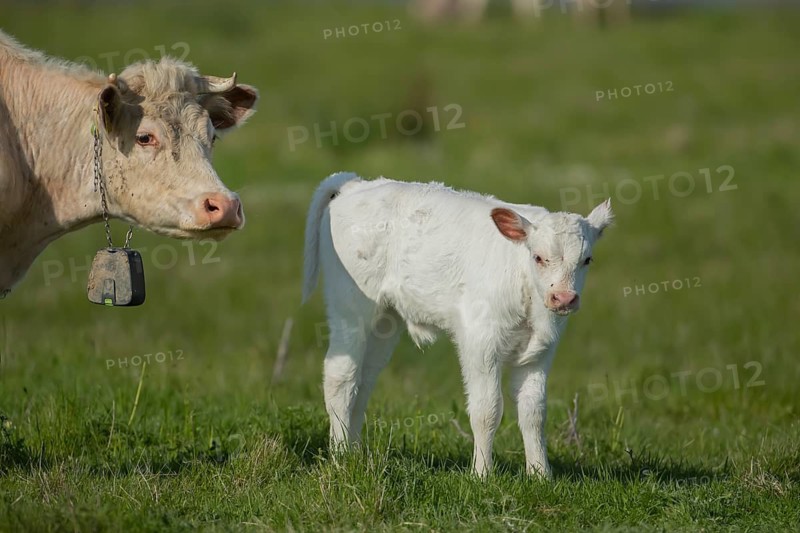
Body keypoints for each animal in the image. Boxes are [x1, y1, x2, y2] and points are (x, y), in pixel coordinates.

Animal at [302, 172, 613, 478]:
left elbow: (533, 412)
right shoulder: (480, 342)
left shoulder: (540, 352)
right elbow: (487, 410)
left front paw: (540, 475)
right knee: (341, 377)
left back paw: (355, 452)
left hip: (384, 322)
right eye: (538, 257)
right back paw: (341, 456)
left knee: (363, 382)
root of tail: (355, 184)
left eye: (587, 260)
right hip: (349, 307)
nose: (564, 298)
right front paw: (482, 474)